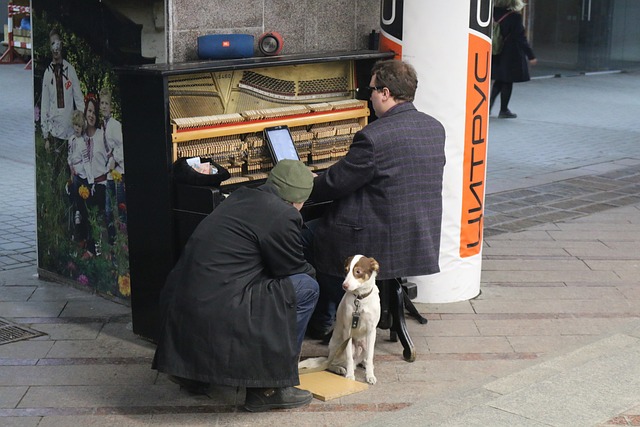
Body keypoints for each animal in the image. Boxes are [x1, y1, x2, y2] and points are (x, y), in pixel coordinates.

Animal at [300, 254, 380, 384]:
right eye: (346, 270)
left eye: (358, 271)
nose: (344, 286)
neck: (360, 299)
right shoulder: (348, 331)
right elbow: (349, 358)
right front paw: (350, 375)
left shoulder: (371, 330)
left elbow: (370, 357)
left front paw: (370, 375)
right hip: (345, 347)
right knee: (331, 364)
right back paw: (339, 369)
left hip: (365, 343)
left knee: (365, 357)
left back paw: (363, 363)